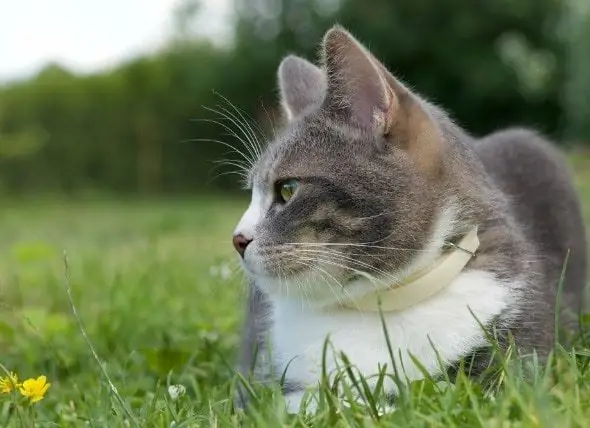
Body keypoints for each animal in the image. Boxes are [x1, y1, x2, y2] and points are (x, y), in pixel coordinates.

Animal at [231, 25, 588, 412]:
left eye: (287, 189)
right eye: (252, 191)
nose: (237, 239)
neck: (379, 301)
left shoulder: (518, 362)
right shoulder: (256, 380)